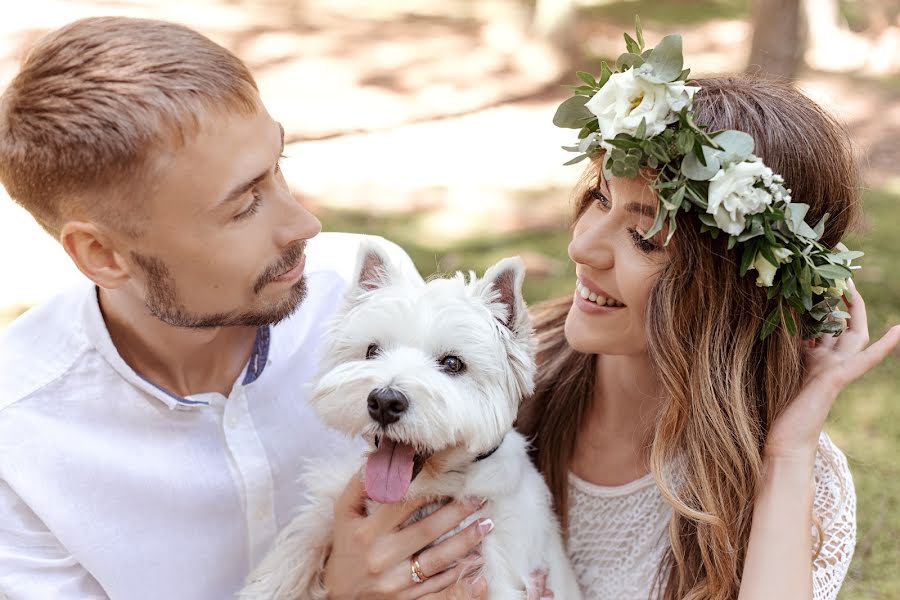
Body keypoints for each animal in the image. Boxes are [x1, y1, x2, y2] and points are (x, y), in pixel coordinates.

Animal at [239, 243, 580, 600]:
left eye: (453, 363)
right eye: (372, 351)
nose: (384, 402)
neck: (428, 489)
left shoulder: (496, 570)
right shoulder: (337, 501)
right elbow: (304, 535)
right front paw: (266, 587)